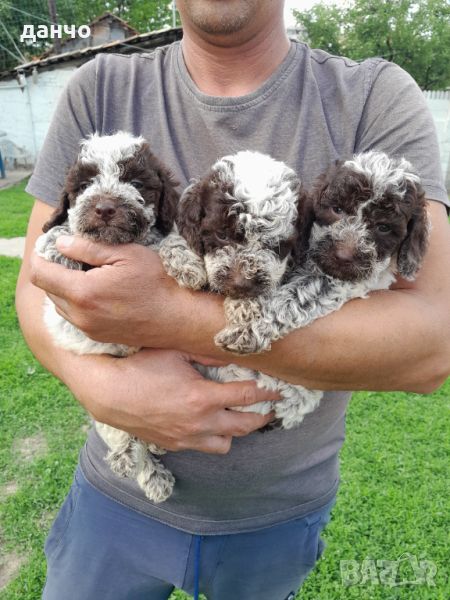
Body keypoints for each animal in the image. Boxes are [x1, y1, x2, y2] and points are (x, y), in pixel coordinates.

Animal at [35, 132, 179, 506]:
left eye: (136, 183)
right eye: (85, 185)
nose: (104, 209)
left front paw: (178, 252)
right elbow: (56, 233)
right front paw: (58, 247)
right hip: (107, 405)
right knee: (124, 432)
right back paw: (139, 464)